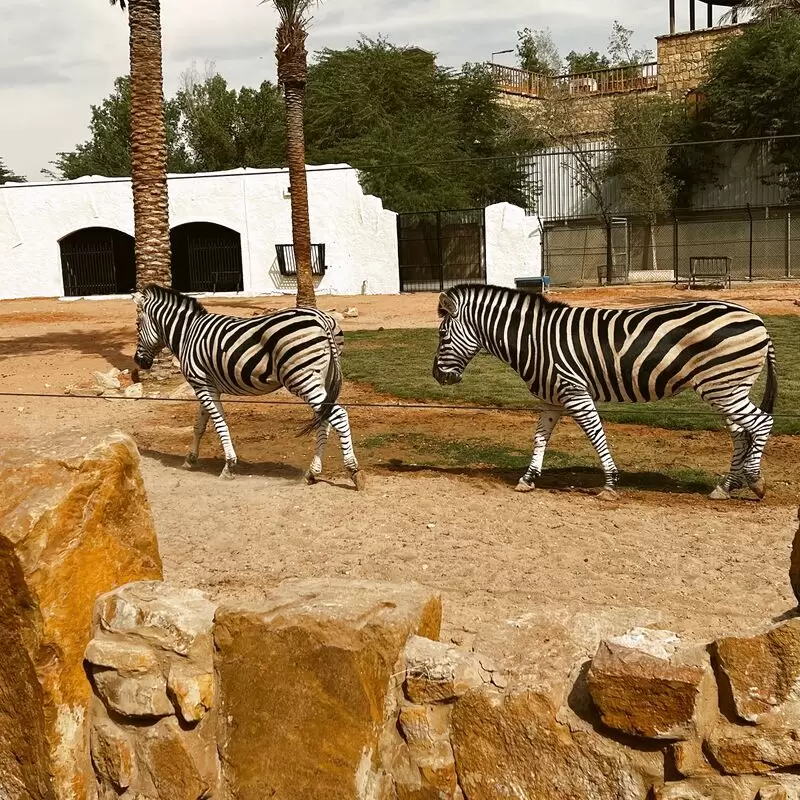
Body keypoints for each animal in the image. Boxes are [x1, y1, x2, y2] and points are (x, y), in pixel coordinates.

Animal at [134, 284, 366, 490]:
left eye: (137, 326)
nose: (138, 362)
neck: (187, 334)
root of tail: (322, 319)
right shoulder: (207, 385)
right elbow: (199, 425)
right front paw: (190, 460)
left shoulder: (200, 383)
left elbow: (219, 424)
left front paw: (229, 466)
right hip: (322, 377)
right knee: (324, 419)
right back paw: (312, 472)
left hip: (302, 377)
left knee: (338, 415)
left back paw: (353, 471)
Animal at [434, 284, 780, 500]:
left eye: (442, 334)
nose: (437, 376)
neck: (534, 339)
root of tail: (757, 318)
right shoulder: (551, 398)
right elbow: (540, 437)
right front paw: (528, 479)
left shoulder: (574, 391)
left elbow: (595, 433)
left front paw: (611, 483)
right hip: (727, 387)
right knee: (740, 432)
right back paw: (727, 486)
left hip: (722, 385)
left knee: (761, 423)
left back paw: (755, 481)